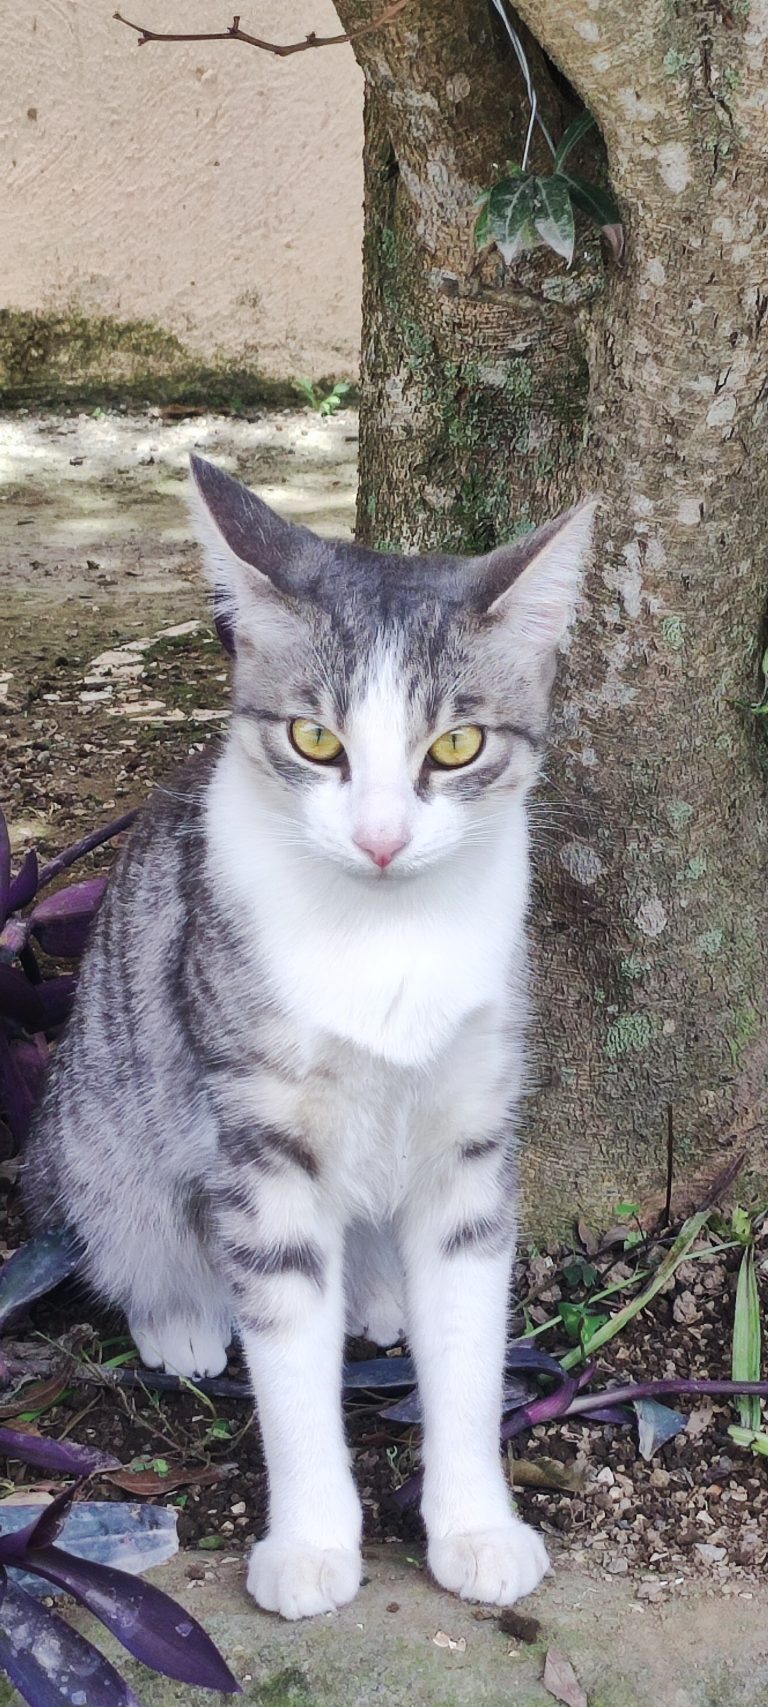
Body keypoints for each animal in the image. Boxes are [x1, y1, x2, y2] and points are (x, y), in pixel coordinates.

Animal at [24, 457, 597, 1625]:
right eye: (315, 739)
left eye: (456, 745)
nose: (379, 837)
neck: (386, 934)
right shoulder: (260, 1137)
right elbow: (288, 1355)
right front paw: (310, 1542)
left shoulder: (473, 1131)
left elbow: (469, 1345)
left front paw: (475, 1524)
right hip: (98, 1119)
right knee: (125, 1221)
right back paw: (181, 1314)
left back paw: (377, 1296)